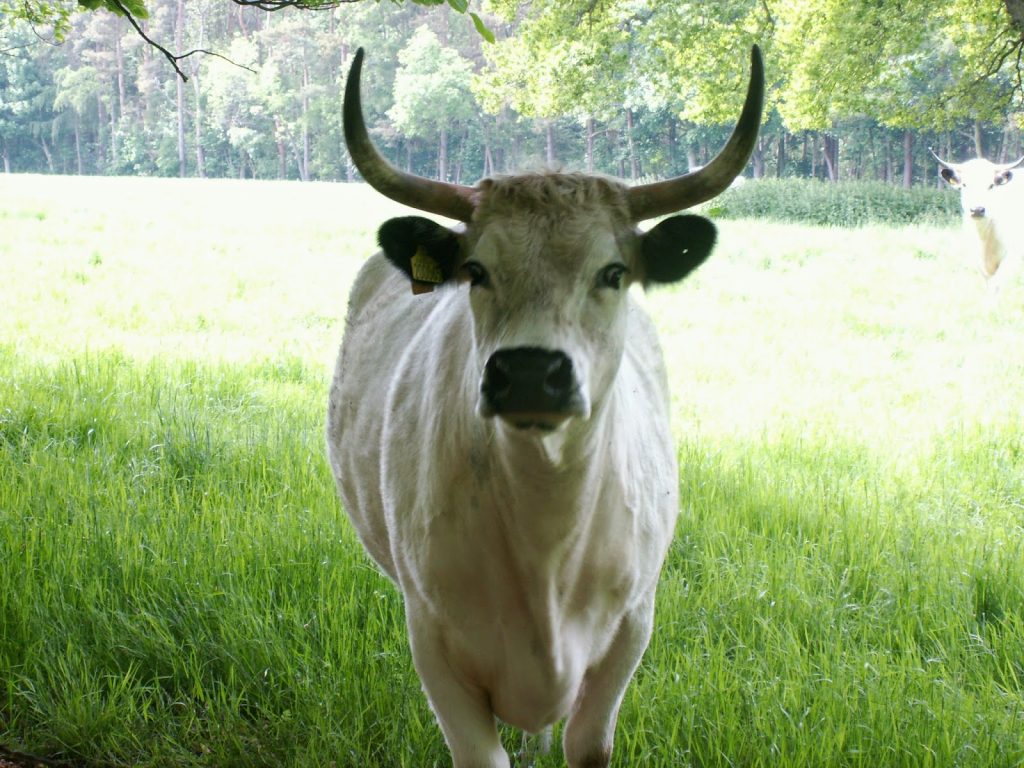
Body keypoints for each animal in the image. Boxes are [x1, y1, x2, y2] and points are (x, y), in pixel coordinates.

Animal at [325, 49, 761, 768]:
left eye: (613, 272)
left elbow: (587, 744)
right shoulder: (433, 640)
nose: (530, 374)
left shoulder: (630, 630)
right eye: (476, 270)